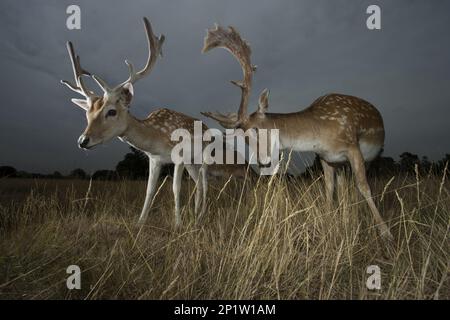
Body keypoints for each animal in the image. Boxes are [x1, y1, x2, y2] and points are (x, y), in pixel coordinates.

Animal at [61, 17, 209, 226]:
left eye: (112, 111)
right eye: (87, 114)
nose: (83, 140)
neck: (157, 139)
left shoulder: (179, 155)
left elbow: (175, 189)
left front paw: (178, 224)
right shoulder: (155, 159)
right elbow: (149, 190)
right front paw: (140, 222)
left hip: (205, 156)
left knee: (205, 183)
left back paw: (201, 215)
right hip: (191, 161)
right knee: (198, 184)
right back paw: (196, 215)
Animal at [202, 25, 392, 240]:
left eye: (257, 129)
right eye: (244, 139)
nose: (263, 161)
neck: (322, 134)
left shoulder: (353, 146)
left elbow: (364, 187)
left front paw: (386, 233)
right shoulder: (326, 157)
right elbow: (329, 189)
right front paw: (330, 221)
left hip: (371, 155)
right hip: (341, 163)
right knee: (343, 186)